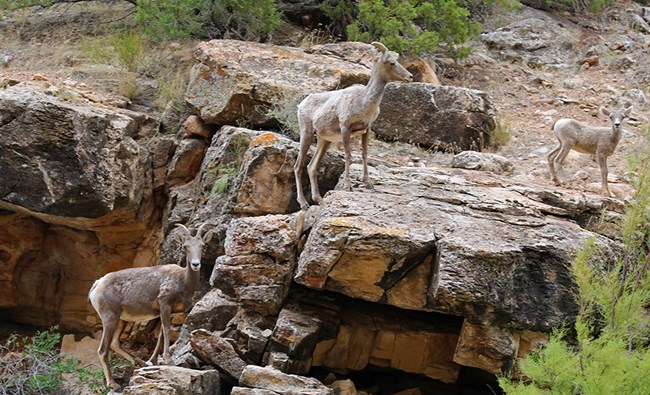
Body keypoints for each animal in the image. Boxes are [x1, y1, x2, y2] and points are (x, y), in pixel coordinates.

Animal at [88, 223, 209, 390]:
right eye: (185, 247)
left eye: (202, 246)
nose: (196, 264)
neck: (183, 281)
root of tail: (97, 285)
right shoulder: (165, 304)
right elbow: (166, 330)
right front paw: (168, 360)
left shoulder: (169, 311)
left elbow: (160, 335)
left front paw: (153, 361)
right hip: (109, 318)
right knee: (102, 350)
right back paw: (114, 384)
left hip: (121, 319)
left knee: (115, 343)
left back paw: (142, 364)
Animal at [292, 41, 410, 210]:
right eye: (392, 63)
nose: (410, 76)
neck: (364, 102)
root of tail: (301, 104)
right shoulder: (345, 128)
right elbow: (349, 156)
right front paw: (348, 186)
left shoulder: (366, 130)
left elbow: (364, 154)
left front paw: (368, 183)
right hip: (306, 134)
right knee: (298, 167)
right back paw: (304, 204)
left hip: (324, 140)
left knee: (311, 167)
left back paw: (319, 199)